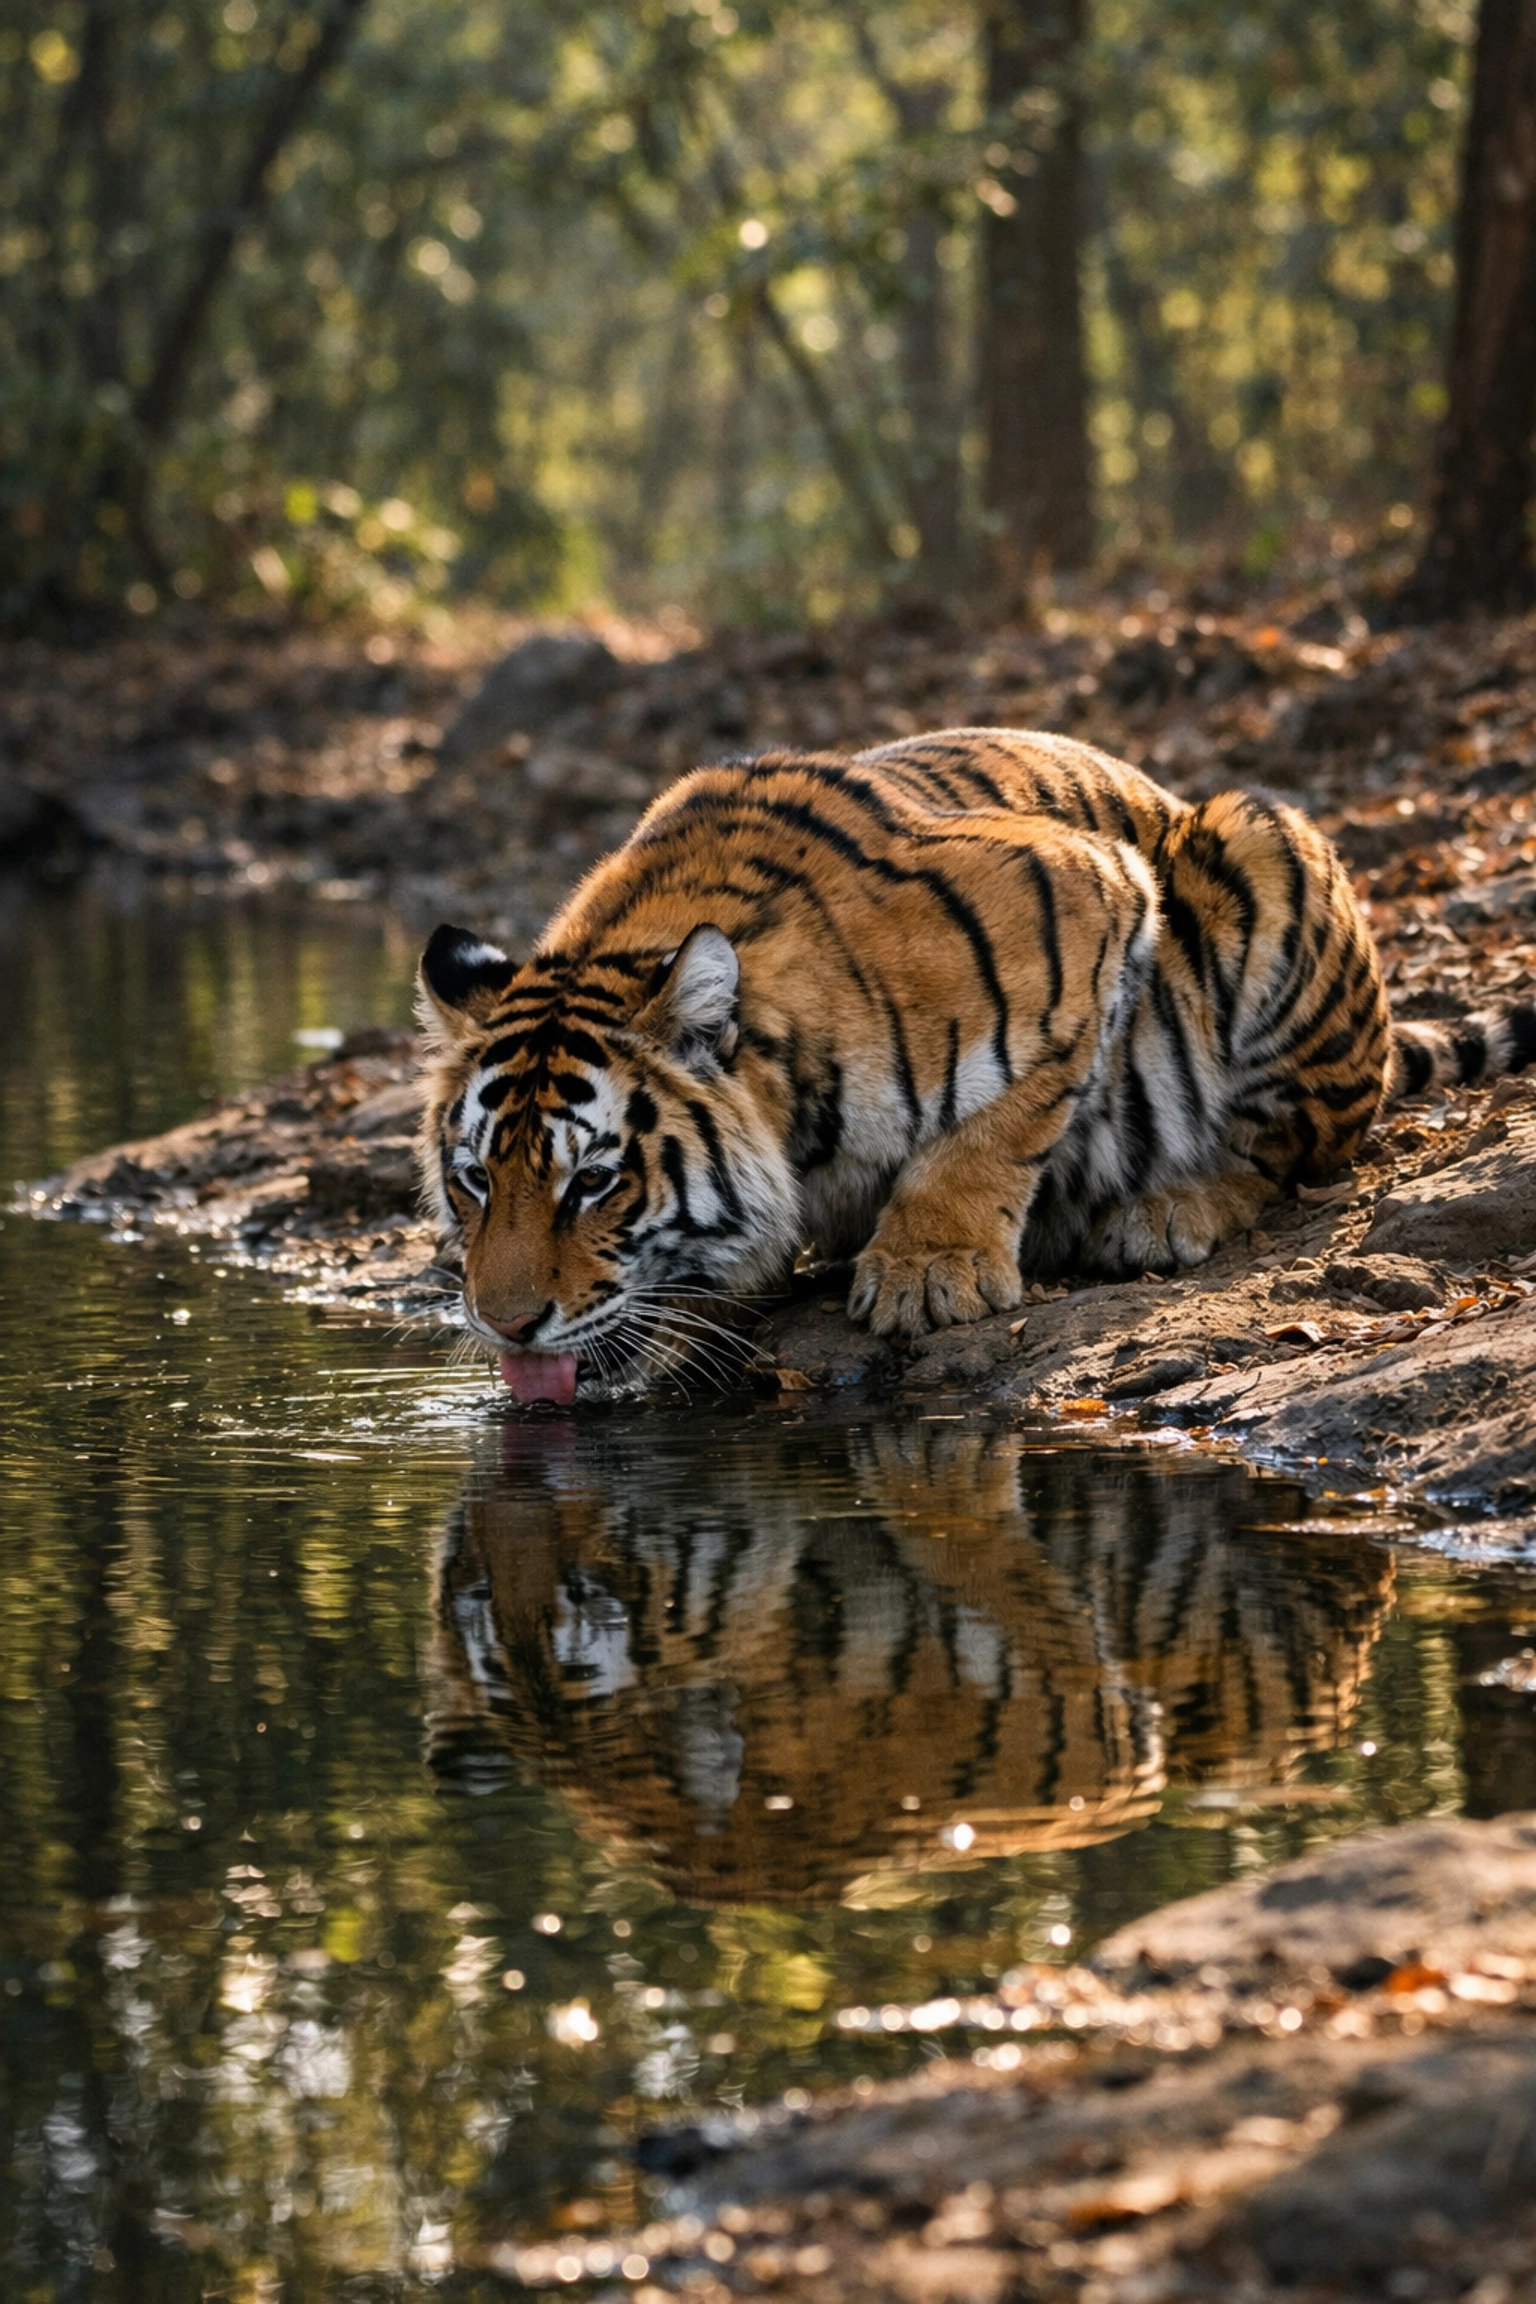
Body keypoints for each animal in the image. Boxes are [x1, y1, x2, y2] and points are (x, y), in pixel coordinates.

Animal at [417, 727, 1536, 1403]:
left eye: (594, 1183)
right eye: (475, 1181)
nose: (506, 1327)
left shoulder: (1091, 899)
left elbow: (995, 1126)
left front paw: (931, 1271)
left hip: (1258, 842)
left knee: (1289, 1153)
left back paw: (1165, 1210)